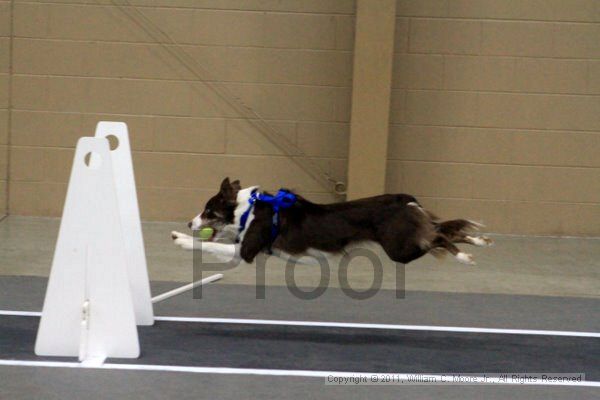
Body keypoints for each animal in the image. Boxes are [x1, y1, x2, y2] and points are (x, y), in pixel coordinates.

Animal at [171, 178, 490, 266]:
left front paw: (181, 239)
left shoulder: (246, 252)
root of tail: (404, 199)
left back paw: (464, 256)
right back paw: (479, 241)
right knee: (443, 230)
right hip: (408, 238)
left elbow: (207, 246)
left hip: (400, 248)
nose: (188, 223)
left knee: (439, 237)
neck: (248, 209)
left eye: (208, 210)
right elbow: (215, 242)